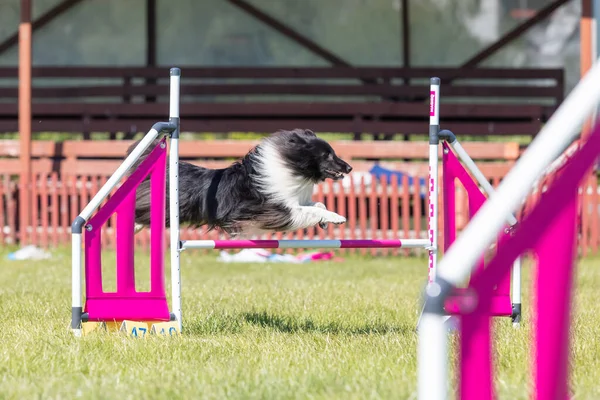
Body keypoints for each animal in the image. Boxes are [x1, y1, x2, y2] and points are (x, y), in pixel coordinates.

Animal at [126, 128, 352, 236]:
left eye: (332, 152)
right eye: (327, 155)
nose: (349, 168)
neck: (291, 166)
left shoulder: (295, 201)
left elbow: (318, 204)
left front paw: (326, 220)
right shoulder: (274, 209)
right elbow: (310, 210)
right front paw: (338, 217)